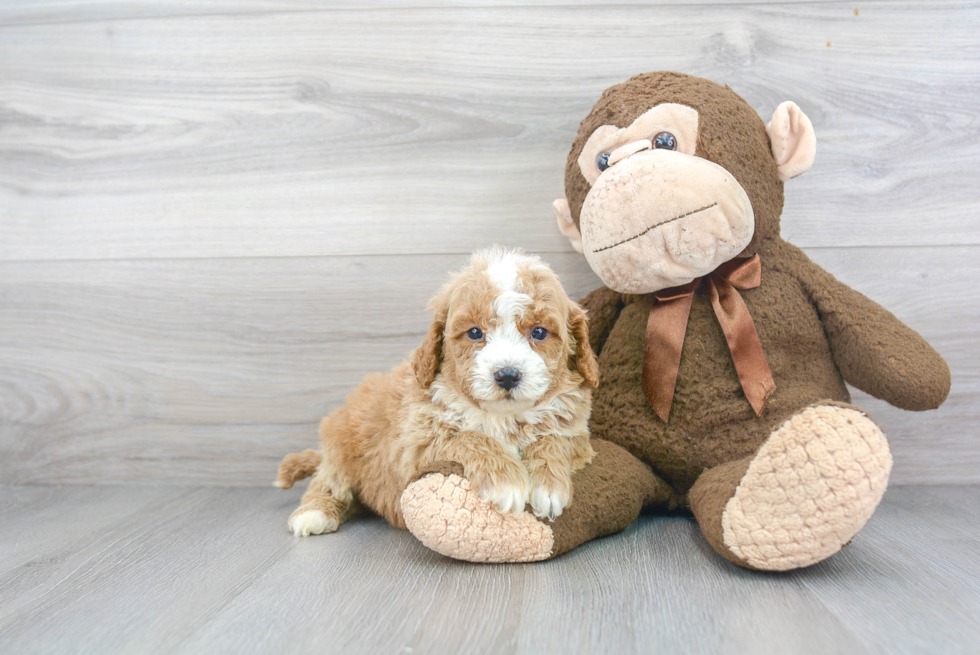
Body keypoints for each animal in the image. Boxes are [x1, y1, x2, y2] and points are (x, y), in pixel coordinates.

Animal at [272, 246, 600, 540]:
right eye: (475, 333)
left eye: (539, 332)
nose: (507, 375)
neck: (502, 417)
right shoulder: (416, 443)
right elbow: (469, 436)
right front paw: (505, 481)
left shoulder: (577, 434)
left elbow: (554, 440)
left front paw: (549, 486)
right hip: (340, 448)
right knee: (327, 483)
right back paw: (314, 513)